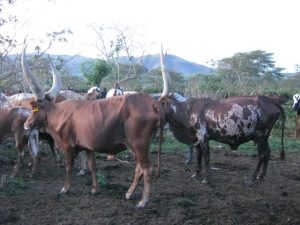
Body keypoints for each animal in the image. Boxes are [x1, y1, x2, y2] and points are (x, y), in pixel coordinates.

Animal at [21, 44, 164, 207]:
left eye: (34, 108)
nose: (26, 124)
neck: (58, 113)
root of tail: (153, 102)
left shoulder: (69, 147)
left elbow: (69, 167)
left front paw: (65, 188)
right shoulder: (88, 147)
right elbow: (92, 166)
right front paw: (95, 189)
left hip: (139, 145)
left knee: (148, 169)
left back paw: (143, 201)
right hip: (138, 147)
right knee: (139, 169)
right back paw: (129, 193)